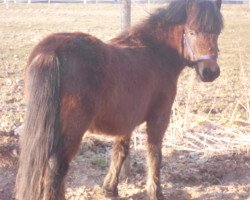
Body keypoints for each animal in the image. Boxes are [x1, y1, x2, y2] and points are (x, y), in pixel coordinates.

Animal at [16, 0, 223, 199]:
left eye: (218, 32)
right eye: (192, 31)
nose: (210, 72)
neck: (156, 52)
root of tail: (51, 52)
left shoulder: (126, 121)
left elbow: (120, 151)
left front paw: (110, 189)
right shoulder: (159, 117)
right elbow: (154, 153)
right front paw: (155, 192)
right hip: (71, 132)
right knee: (56, 169)